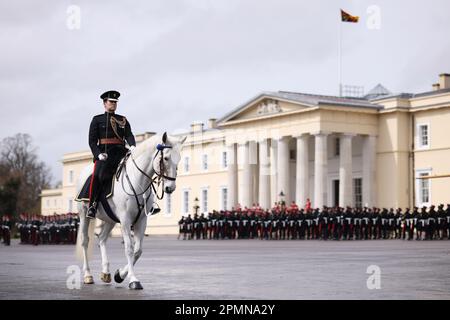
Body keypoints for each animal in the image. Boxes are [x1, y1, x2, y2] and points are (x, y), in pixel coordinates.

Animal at [75, 132, 185, 290]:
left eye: (179, 159)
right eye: (166, 158)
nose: (170, 187)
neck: (138, 181)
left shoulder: (141, 220)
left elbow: (138, 251)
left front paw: (119, 275)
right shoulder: (126, 220)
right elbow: (129, 248)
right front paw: (133, 279)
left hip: (110, 219)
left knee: (102, 239)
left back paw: (106, 272)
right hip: (84, 215)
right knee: (85, 241)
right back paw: (88, 275)